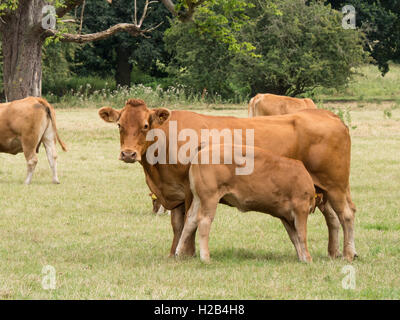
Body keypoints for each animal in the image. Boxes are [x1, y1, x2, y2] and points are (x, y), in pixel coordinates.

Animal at [175, 145, 316, 262]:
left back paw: (178, 252)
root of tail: (202, 152)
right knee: (204, 221)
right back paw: (205, 257)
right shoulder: (301, 208)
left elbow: (294, 237)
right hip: (209, 197)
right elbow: (301, 235)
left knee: (190, 220)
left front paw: (301, 258)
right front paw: (308, 259)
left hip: (198, 198)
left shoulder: (285, 216)